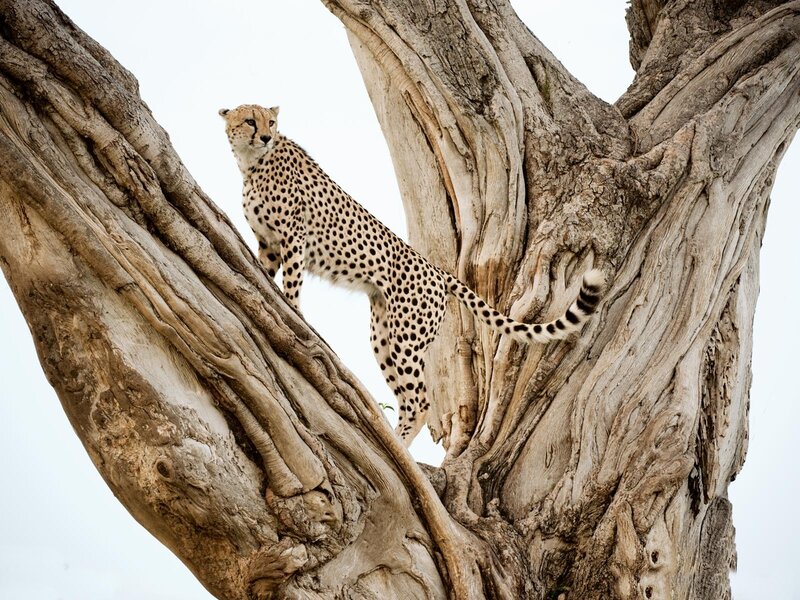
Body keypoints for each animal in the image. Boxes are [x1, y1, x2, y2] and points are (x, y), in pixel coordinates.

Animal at [219, 103, 605, 446]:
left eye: (270, 121)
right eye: (250, 120)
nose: (266, 136)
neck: (252, 165)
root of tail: (438, 269)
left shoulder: (294, 239)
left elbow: (293, 283)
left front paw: (293, 311)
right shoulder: (269, 244)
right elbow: (266, 270)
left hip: (406, 337)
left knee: (420, 400)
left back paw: (401, 448)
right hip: (384, 334)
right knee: (407, 397)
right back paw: (395, 440)